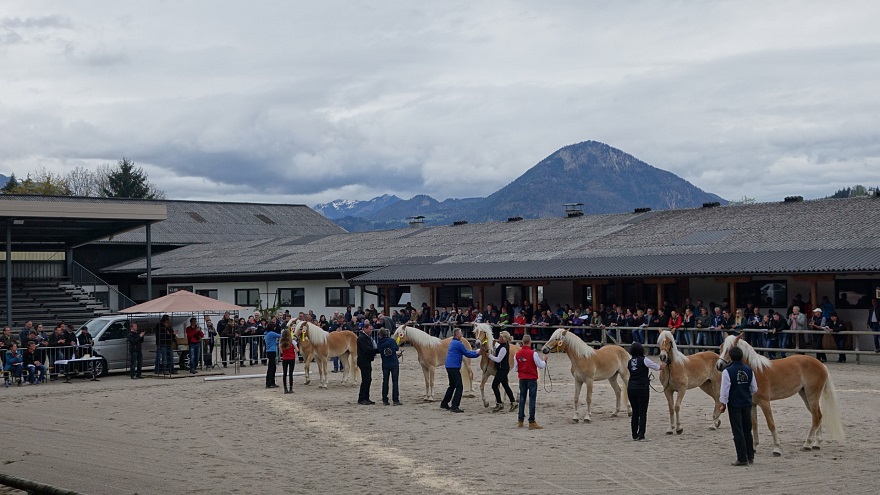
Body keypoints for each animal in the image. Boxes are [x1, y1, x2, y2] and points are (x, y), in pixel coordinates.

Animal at [716, 334, 844, 458]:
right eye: (721, 348)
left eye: (730, 349)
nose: (719, 365)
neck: (756, 371)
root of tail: (821, 364)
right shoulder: (752, 404)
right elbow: (754, 425)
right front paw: (754, 447)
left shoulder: (765, 402)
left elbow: (771, 424)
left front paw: (777, 448)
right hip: (805, 395)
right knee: (818, 415)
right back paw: (816, 443)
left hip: (812, 396)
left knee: (816, 417)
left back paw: (807, 444)